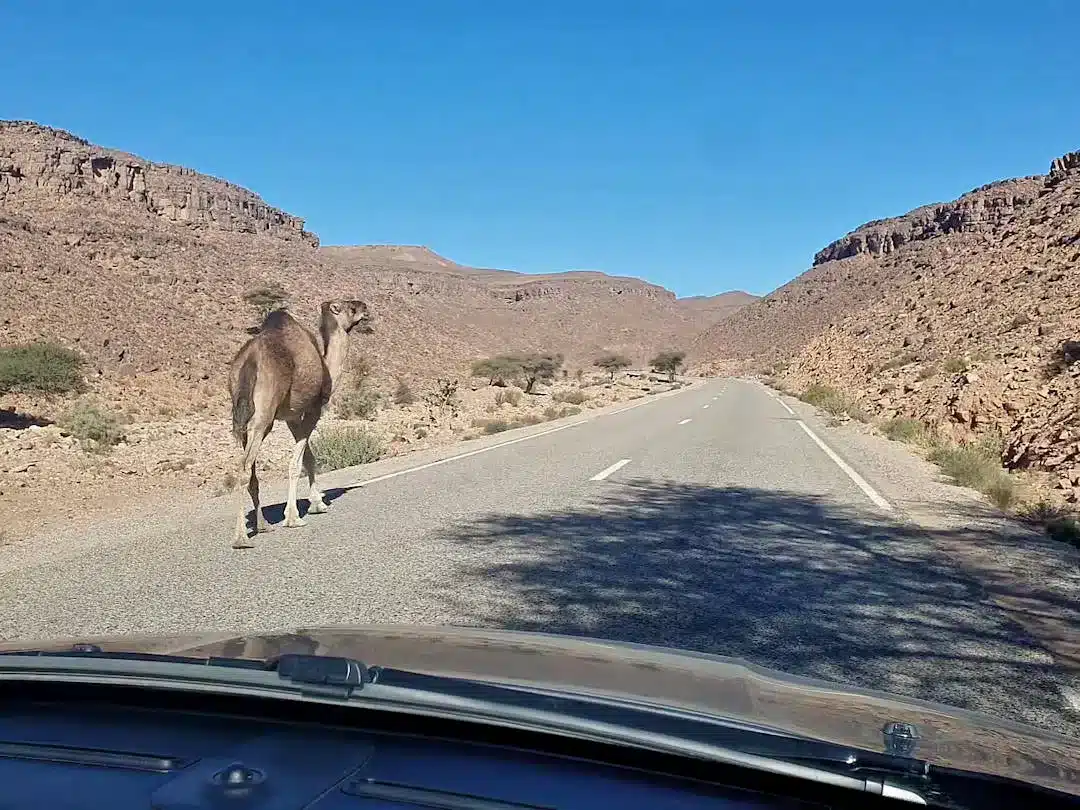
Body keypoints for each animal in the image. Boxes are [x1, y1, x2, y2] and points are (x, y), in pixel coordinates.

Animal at [228, 299, 373, 549]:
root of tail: (249, 360)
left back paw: (262, 525)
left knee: (250, 469)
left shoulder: (291, 416)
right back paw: (241, 538)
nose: (364, 306)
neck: (326, 366)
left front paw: (317, 503)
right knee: (244, 466)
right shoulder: (313, 408)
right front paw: (295, 516)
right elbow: (299, 462)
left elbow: (308, 457)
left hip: (242, 417)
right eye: (350, 307)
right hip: (264, 415)